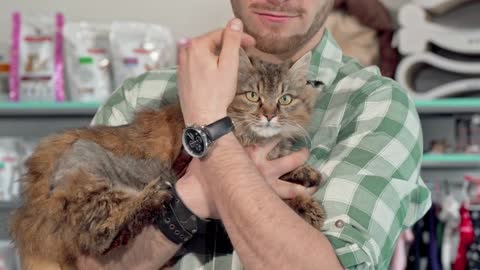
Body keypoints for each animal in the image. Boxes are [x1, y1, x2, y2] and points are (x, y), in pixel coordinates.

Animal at [9, 49, 326, 266]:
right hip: (88, 173)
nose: (269, 115)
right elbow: (272, 187)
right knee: (102, 232)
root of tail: (27, 209)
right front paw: (305, 202)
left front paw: (306, 177)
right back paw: (154, 195)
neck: (255, 139)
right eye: (252, 96)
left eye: (285, 99)